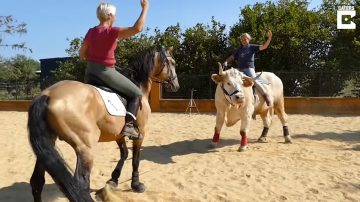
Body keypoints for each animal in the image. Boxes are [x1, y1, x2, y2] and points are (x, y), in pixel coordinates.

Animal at [27, 47, 179, 202]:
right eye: (172, 63)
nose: (176, 85)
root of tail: (47, 94)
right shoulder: (140, 133)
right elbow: (135, 159)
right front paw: (136, 184)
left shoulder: (118, 134)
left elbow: (124, 154)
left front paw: (113, 180)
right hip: (85, 148)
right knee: (80, 185)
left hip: (49, 143)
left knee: (37, 181)